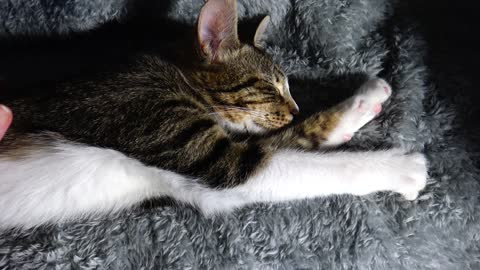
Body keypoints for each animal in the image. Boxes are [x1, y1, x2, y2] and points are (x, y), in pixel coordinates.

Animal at [0, 0, 428, 229]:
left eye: (289, 87)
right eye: (270, 85)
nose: (294, 109)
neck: (174, 78)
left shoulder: (192, 184)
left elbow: (292, 140)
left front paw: (363, 105)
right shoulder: (202, 151)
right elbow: (305, 160)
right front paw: (400, 168)